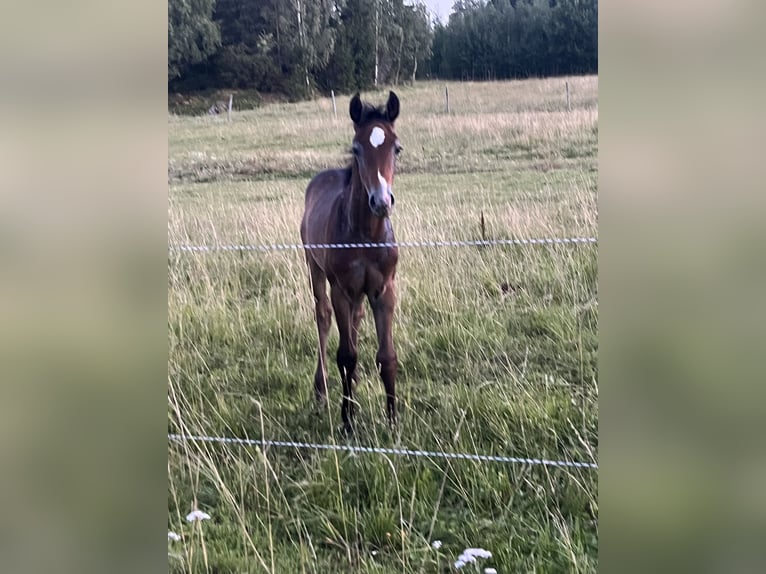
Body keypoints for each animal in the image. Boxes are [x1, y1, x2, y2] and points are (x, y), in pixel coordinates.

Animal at [302, 91, 404, 432]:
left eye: (396, 147)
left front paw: (393, 423)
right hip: (314, 268)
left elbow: (386, 356)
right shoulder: (341, 289)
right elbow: (346, 355)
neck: (365, 235)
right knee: (323, 317)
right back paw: (320, 391)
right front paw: (347, 421)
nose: (381, 201)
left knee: (356, 319)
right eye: (356, 149)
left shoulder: (384, 289)